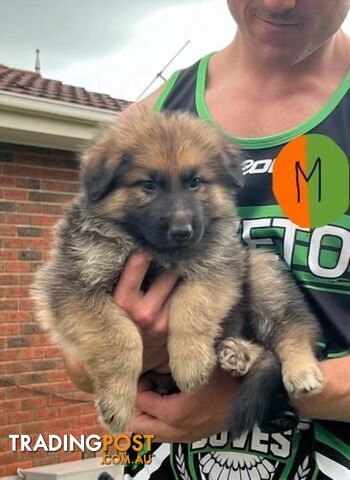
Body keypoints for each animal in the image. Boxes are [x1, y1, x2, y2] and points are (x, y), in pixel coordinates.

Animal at [32, 109, 322, 438]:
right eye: (148, 185)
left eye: (195, 182)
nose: (182, 231)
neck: (153, 248)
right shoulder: (73, 286)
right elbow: (120, 336)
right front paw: (117, 402)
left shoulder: (218, 266)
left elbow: (193, 305)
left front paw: (191, 361)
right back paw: (239, 354)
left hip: (261, 269)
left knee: (293, 328)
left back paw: (298, 369)